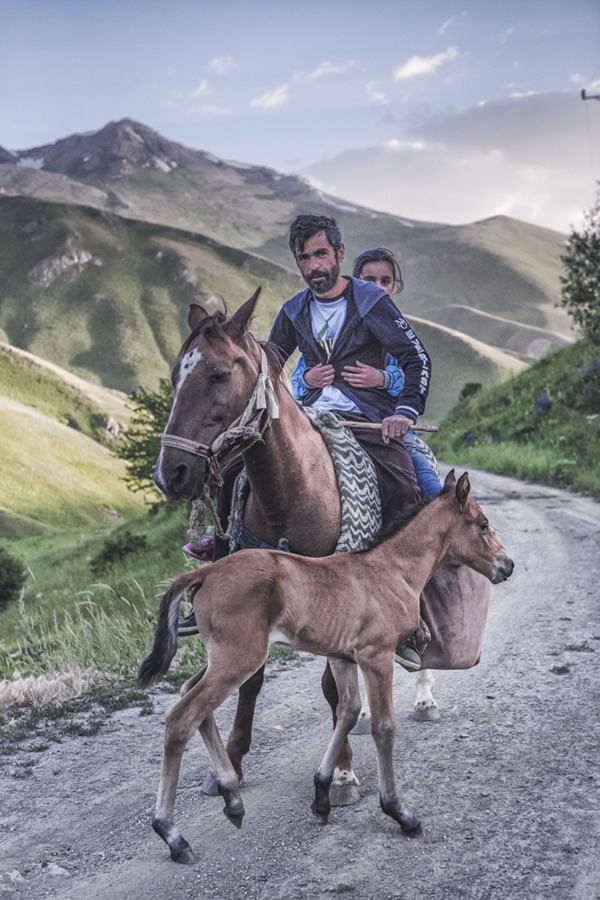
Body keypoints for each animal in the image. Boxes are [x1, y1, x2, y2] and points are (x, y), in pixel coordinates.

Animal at [138, 468, 512, 860]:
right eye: (482, 525)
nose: (508, 565)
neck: (392, 571)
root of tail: (204, 574)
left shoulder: (342, 656)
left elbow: (347, 711)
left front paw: (322, 795)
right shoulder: (376, 656)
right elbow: (383, 727)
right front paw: (399, 811)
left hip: (225, 657)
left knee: (189, 694)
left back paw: (231, 797)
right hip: (239, 657)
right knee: (182, 717)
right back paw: (173, 834)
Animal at [154, 288, 488, 800]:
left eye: (219, 374)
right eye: (175, 376)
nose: (171, 473)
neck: (291, 494)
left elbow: (333, 688)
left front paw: (344, 773)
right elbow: (252, 679)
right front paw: (232, 760)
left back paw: (423, 695)